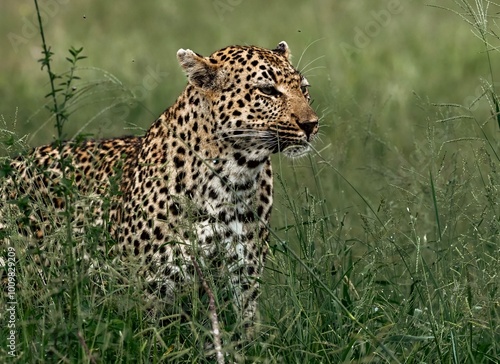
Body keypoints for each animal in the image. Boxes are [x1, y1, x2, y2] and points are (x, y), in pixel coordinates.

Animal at [0, 42, 320, 338]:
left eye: (304, 89)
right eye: (268, 91)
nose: (311, 124)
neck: (234, 180)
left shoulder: (243, 286)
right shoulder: (148, 291)